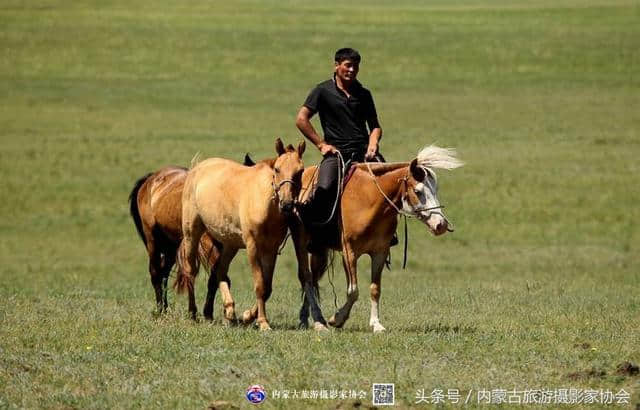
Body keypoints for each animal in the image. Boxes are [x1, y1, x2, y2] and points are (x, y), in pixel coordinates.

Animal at [129, 167, 221, 314]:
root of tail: (150, 178)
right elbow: (191, 273)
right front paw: (193, 312)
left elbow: (214, 278)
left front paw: (208, 312)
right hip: (152, 240)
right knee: (155, 272)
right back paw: (160, 310)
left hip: (171, 247)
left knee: (164, 272)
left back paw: (165, 308)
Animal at [175, 139, 304, 330]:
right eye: (277, 169)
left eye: (300, 171)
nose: (287, 204)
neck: (264, 203)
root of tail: (197, 167)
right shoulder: (253, 247)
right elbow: (259, 285)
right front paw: (263, 323)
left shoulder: (271, 250)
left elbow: (267, 287)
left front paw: (248, 316)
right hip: (192, 234)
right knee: (190, 272)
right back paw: (193, 313)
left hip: (230, 244)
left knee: (219, 271)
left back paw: (229, 312)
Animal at [292, 146, 462, 332]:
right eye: (418, 191)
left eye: (436, 190)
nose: (441, 225)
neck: (368, 200)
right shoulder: (349, 253)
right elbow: (353, 291)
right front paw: (337, 319)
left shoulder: (380, 252)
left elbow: (375, 289)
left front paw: (376, 324)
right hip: (301, 243)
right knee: (306, 277)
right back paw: (313, 320)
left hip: (319, 249)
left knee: (313, 278)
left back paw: (310, 318)